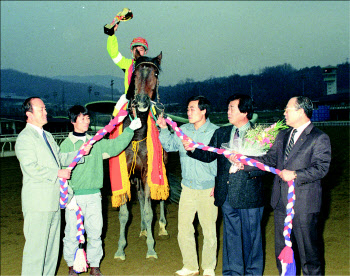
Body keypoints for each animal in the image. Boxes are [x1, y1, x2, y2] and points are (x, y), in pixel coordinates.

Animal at [111, 50, 167, 260]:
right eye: (135, 74)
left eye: (156, 74)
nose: (142, 102)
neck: (136, 135)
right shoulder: (127, 174)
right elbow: (124, 214)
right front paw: (120, 249)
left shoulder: (147, 172)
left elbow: (150, 210)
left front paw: (151, 249)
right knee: (142, 197)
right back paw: (143, 228)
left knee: (160, 199)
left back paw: (162, 227)